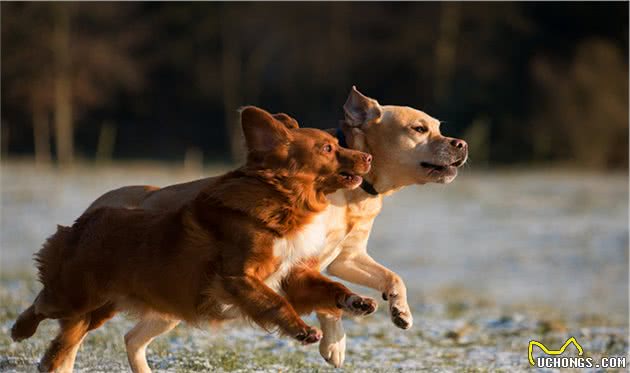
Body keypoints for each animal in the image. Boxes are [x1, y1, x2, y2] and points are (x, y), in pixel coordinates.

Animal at [11, 106, 376, 370]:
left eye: (339, 144)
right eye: (328, 148)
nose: (369, 158)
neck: (285, 201)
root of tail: (86, 220)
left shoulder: (291, 274)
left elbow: (329, 287)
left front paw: (356, 301)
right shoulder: (238, 277)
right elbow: (274, 303)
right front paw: (302, 330)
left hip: (101, 307)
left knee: (65, 345)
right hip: (77, 295)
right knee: (42, 302)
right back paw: (19, 330)